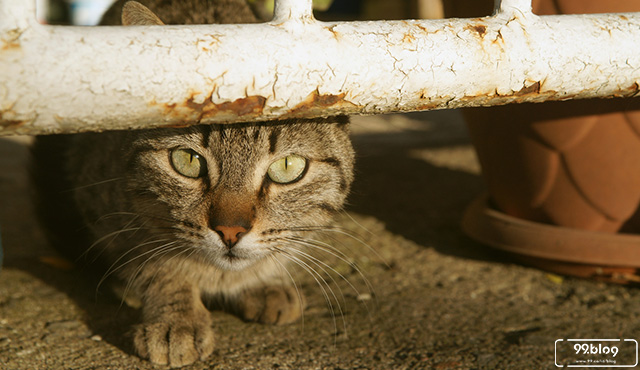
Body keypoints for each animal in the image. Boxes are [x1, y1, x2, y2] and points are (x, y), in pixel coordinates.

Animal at [31, 0, 356, 366]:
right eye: (187, 160)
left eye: (287, 167)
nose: (230, 231)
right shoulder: (105, 210)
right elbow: (155, 267)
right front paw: (176, 318)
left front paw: (265, 282)